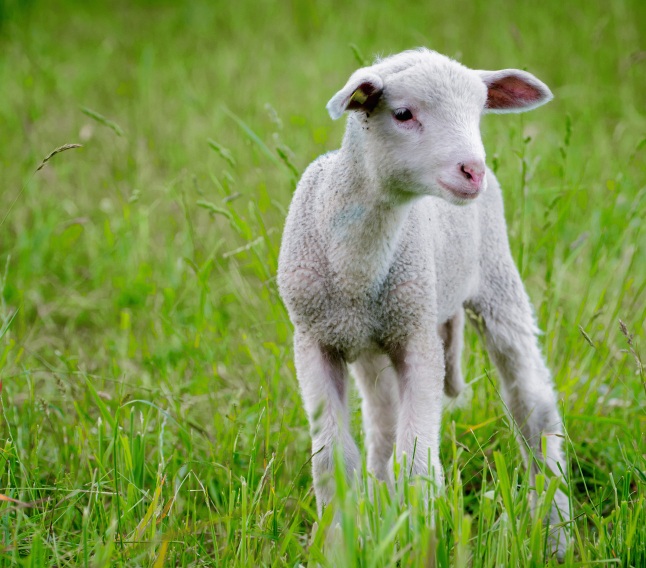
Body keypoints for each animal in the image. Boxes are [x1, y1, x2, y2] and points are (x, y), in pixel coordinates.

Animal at [277, 48, 569, 557]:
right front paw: (339, 546)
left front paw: (418, 540)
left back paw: (554, 532)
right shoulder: (314, 340)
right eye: (402, 114)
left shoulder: (418, 339)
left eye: (478, 112)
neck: (355, 269)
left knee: (533, 406)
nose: (473, 170)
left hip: (495, 278)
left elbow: (415, 464)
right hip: (377, 344)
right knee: (381, 429)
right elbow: (334, 461)